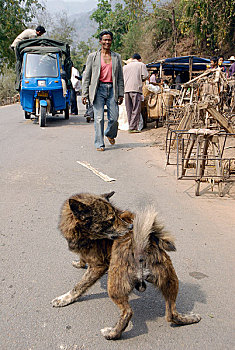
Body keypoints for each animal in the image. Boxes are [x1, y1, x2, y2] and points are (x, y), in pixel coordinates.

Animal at [52, 191, 201, 340]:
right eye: (110, 219)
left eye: (115, 216)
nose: (131, 227)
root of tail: (141, 248)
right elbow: (82, 259)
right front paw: (79, 263)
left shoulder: (98, 266)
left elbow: (79, 286)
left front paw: (65, 299)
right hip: (171, 280)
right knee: (171, 314)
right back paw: (190, 318)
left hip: (114, 286)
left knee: (128, 312)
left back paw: (112, 333)